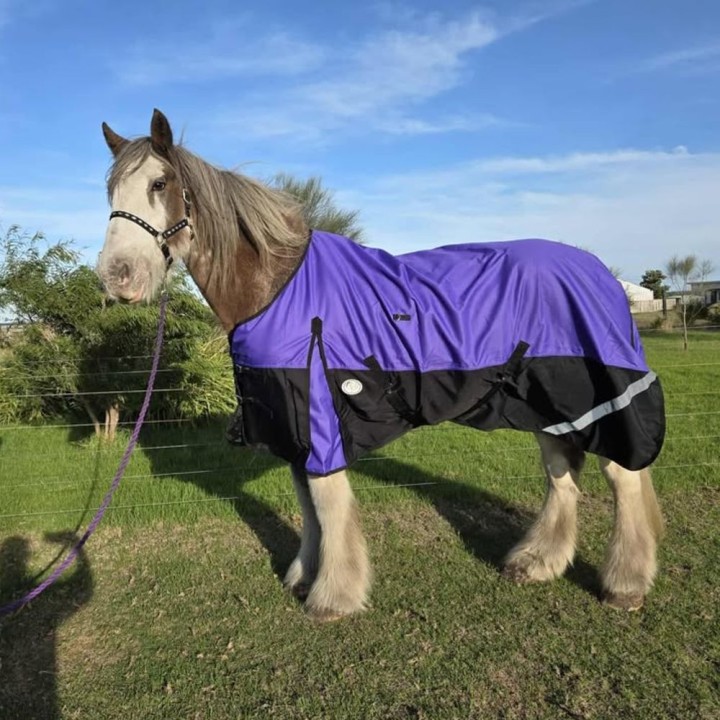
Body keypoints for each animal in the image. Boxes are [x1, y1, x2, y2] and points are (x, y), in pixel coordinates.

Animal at [97, 109, 666, 621]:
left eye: (160, 182)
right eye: (110, 192)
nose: (117, 276)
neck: (280, 290)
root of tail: (599, 271)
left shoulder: (321, 419)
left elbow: (328, 505)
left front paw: (333, 596)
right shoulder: (292, 425)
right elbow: (306, 506)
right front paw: (303, 575)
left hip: (597, 398)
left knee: (623, 477)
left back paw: (625, 584)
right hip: (544, 403)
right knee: (561, 477)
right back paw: (538, 562)